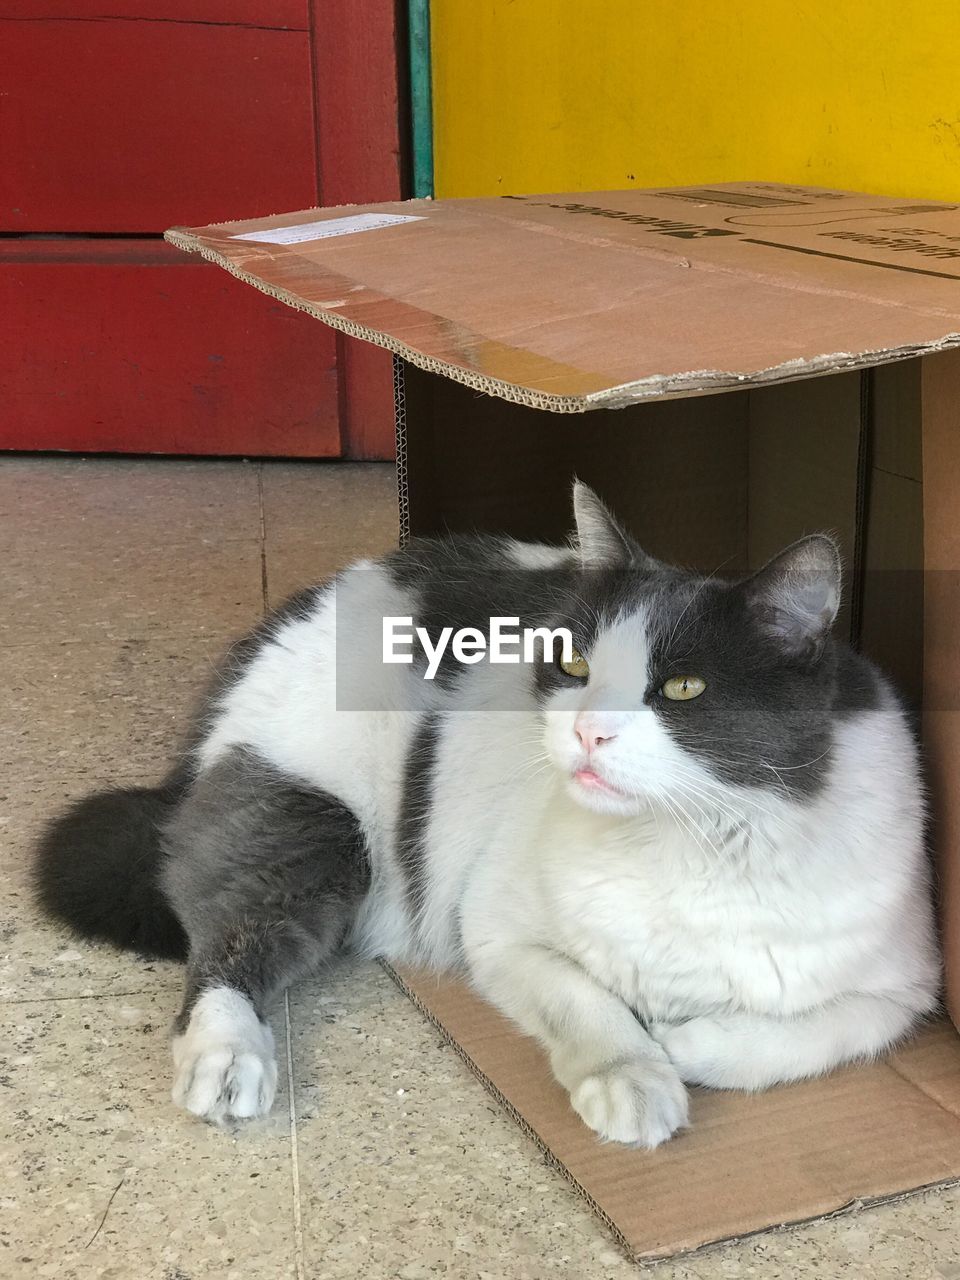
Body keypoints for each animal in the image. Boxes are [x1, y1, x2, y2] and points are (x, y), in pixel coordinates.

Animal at [35, 481, 942, 1152]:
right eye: (573, 663)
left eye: (683, 689)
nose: (587, 730)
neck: (689, 843)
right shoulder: (495, 925)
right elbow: (590, 1004)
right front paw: (634, 1074)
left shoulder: (906, 988)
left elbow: (799, 1039)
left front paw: (682, 1042)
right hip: (314, 826)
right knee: (222, 940)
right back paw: (228, 1059)